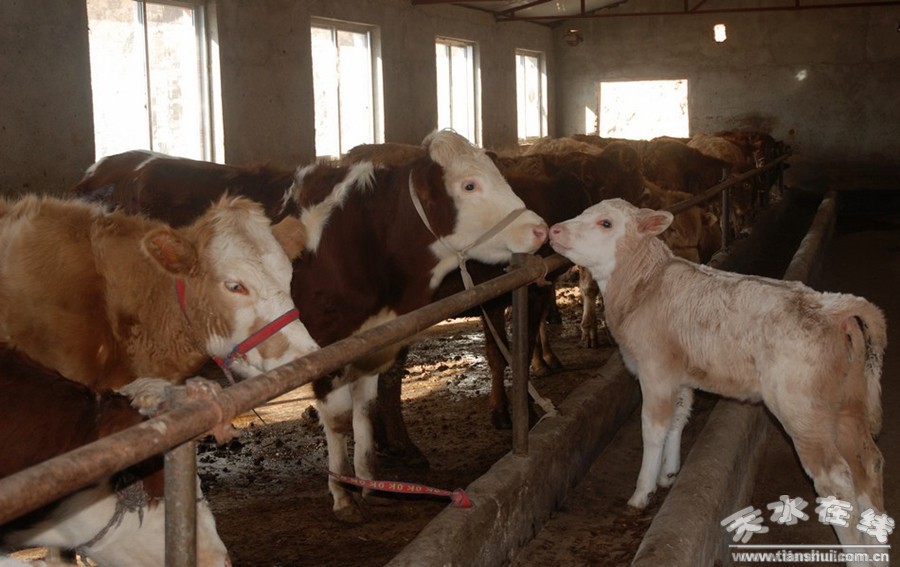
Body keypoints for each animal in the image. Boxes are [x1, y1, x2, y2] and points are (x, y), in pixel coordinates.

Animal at [72, 129, 549, 523]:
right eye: (469, 185)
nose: (539, 228)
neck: (361, 236)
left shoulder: (370, 346)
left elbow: (364, 413)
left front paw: (370, 486)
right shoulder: (322, 345)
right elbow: (337, 421)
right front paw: (342, 496)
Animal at [549, 199, 886, 560]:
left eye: (606, 223)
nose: (554, 230)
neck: (645, 285)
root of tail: (831, 306)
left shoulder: (655, 370)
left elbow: (653, 429)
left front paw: (642, 493)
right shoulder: (679, 375)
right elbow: (678, 418)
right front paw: (669, 473)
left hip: (802, 409)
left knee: (836, 480)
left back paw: (857, 554)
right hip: (848, 404)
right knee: (869, 465)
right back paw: (876, 547)